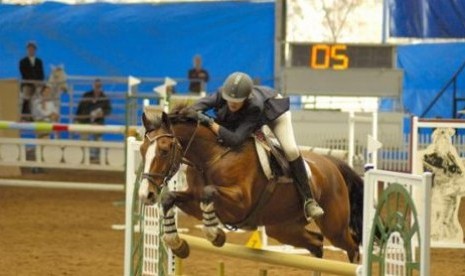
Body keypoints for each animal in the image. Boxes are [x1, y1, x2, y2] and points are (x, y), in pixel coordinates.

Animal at [140, 105, 364, 264]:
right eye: (142, 150)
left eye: (164, 151)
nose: (146, 195)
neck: (211, 156)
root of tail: (332, 165)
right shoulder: (194, 200)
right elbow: (170, 197)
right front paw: (176, 244)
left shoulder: (240, 203)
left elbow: (209, 191)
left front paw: (215, 235)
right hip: (283, 227)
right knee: (316, 243)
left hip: (334, 227)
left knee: (353, 248)